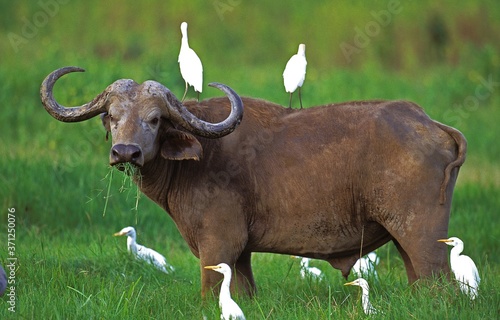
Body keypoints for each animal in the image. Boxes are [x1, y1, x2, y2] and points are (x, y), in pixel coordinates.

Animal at [41, 67, 466, 298]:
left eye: (155, 119)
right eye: (112, 116)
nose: (126, 152)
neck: (200, 157)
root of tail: (428, 122)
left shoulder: (218, 246)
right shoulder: (241, 254)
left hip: (424, 241)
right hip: (404, 243)